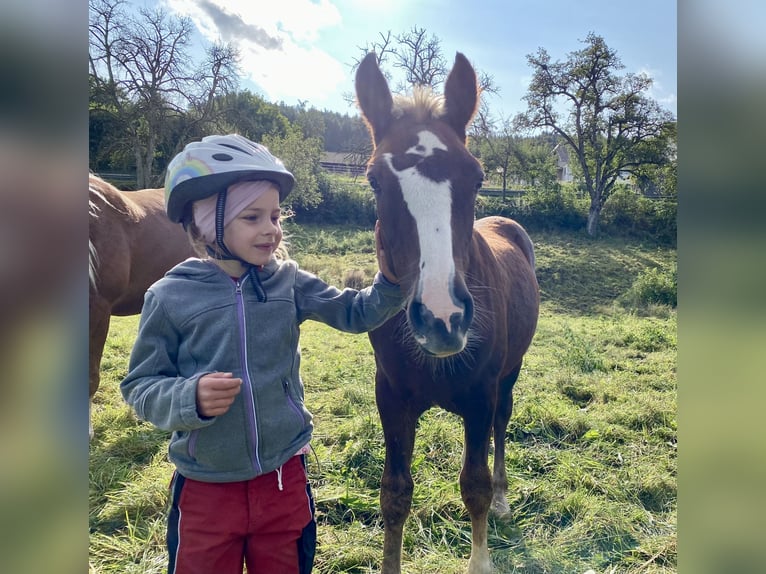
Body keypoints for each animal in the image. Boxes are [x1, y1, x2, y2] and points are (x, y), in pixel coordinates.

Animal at [356, 51, 540, 572]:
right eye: (375, 181)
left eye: (477, 177)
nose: (443, 318)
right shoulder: (391, 399)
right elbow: (394, 493)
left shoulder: (480, 396)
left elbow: (474, 486)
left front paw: (481, 558)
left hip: (509, 375)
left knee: (502, 426)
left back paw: (503, 498)